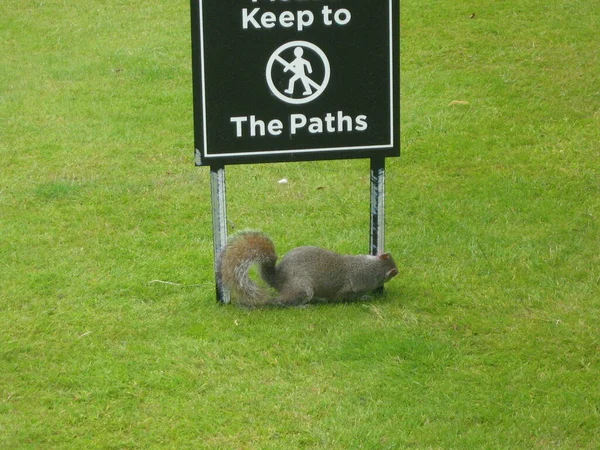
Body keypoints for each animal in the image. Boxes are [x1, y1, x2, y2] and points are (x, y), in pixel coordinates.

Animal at [216, 230, 398, 308]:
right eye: (393, 273)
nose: (398, 270)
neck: (369, 267)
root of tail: (278, 279)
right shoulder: (350, 289)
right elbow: (345, 297)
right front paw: (364, 298)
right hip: (301, 288)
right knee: (283, 302)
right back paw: (301, 306)